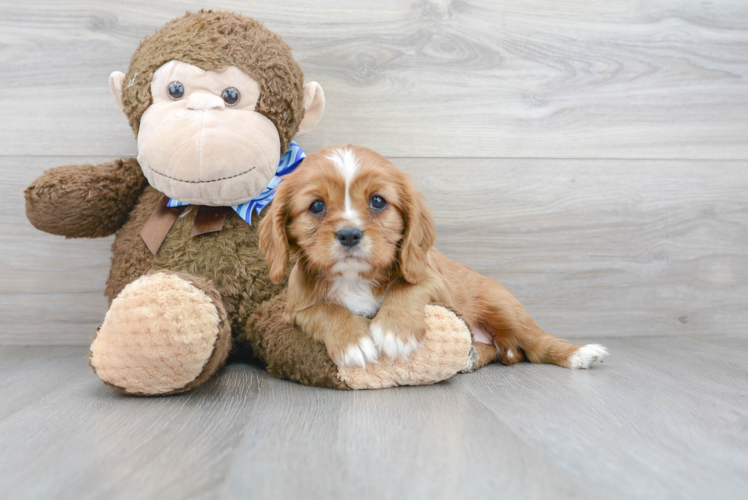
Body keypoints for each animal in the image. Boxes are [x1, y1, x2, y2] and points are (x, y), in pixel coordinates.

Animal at [258, 143, 608, 370]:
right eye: (316, 206)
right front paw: (352, 341)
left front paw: (394, 331)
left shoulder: (436, 283)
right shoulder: (296, 311)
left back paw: (579, 353)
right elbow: (325, 310)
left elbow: (407, 286)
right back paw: (471, 358)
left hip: (503, 307)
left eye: (378, 201)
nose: (349, 234)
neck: (355, 278)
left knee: (536, 345)